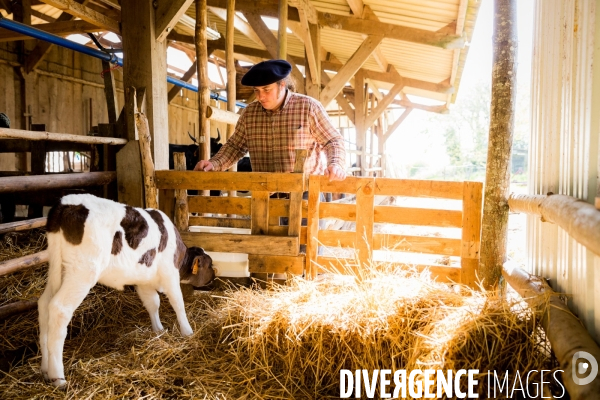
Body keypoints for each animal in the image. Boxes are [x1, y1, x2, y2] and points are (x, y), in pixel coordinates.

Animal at [38, 194, 216, 388]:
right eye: (209, 265)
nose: (215, 276)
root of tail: (64, 204)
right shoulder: (170, 274)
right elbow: (178, 303)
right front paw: (187, 331)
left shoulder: (145, 280)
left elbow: (153, 303)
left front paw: (158, 330)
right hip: (83, 271)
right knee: (59, 309)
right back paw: (58, 378)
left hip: (58, 269)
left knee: (44, 304)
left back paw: (45, 370)